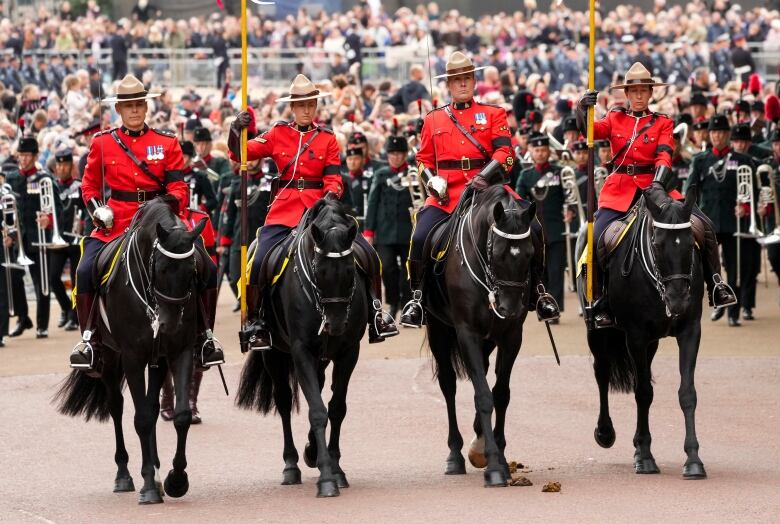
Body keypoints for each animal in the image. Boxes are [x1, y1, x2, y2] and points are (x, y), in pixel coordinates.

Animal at [54, 196, 210, 504]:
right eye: (159, 268)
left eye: (193, 271)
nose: (169, 325)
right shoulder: (132, 357)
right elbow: (141, 419)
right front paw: (149, 483)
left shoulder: (178, 351)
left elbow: (180, 415)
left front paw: (175, 479)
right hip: (109, 358)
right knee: (117, 406)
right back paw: (125, 475)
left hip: (157, 359)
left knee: (151, 406)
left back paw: (157, 471)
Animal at [238, 199, 368, 498]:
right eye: (319, 272)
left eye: (350, 270)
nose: (334, 324)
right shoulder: (301, 351)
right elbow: (317, 410)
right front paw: (327, 478)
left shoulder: (348, 352)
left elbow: (336, 407)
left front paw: (335, 467)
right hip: (274, 354)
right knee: (284, 401)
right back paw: (291, 465)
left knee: (317, 388)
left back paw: (312, 451)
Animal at [424, 187, 540, 488]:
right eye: (497, 254)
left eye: (530, 254)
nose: (509, 309)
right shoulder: (467, 333)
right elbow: (483, 396)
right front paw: (495, 466)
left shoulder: (511, 335)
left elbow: (500, 393)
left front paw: (498, 455)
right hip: (437, 329)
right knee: (448, 384)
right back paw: (455, 455)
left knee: (484, 373)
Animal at [572, 186, 708, 476]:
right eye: (656, 244)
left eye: (690, 243)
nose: (678, 301)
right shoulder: (635, 336)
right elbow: (643, 392)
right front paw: (645, 456)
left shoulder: (690, 331)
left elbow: (687, 393)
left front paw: (693, 459)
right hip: (597, 332)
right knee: (602, 372)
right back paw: (605, 432)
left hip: (651, 343)